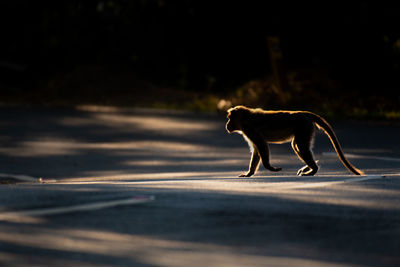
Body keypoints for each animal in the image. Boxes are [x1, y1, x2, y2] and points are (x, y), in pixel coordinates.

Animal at [227, 105, 364, 178]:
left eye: (229, 118)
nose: (226, 125)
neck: (245, 117)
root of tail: (302, 113)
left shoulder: (249, 129)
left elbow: (261, 145)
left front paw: (270, 168)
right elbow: (256, 150)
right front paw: (249, 173)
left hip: (304, 126)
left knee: (299, 146)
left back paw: (313, 170)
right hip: (306, 128)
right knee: (298, 146)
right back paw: (309, 168)